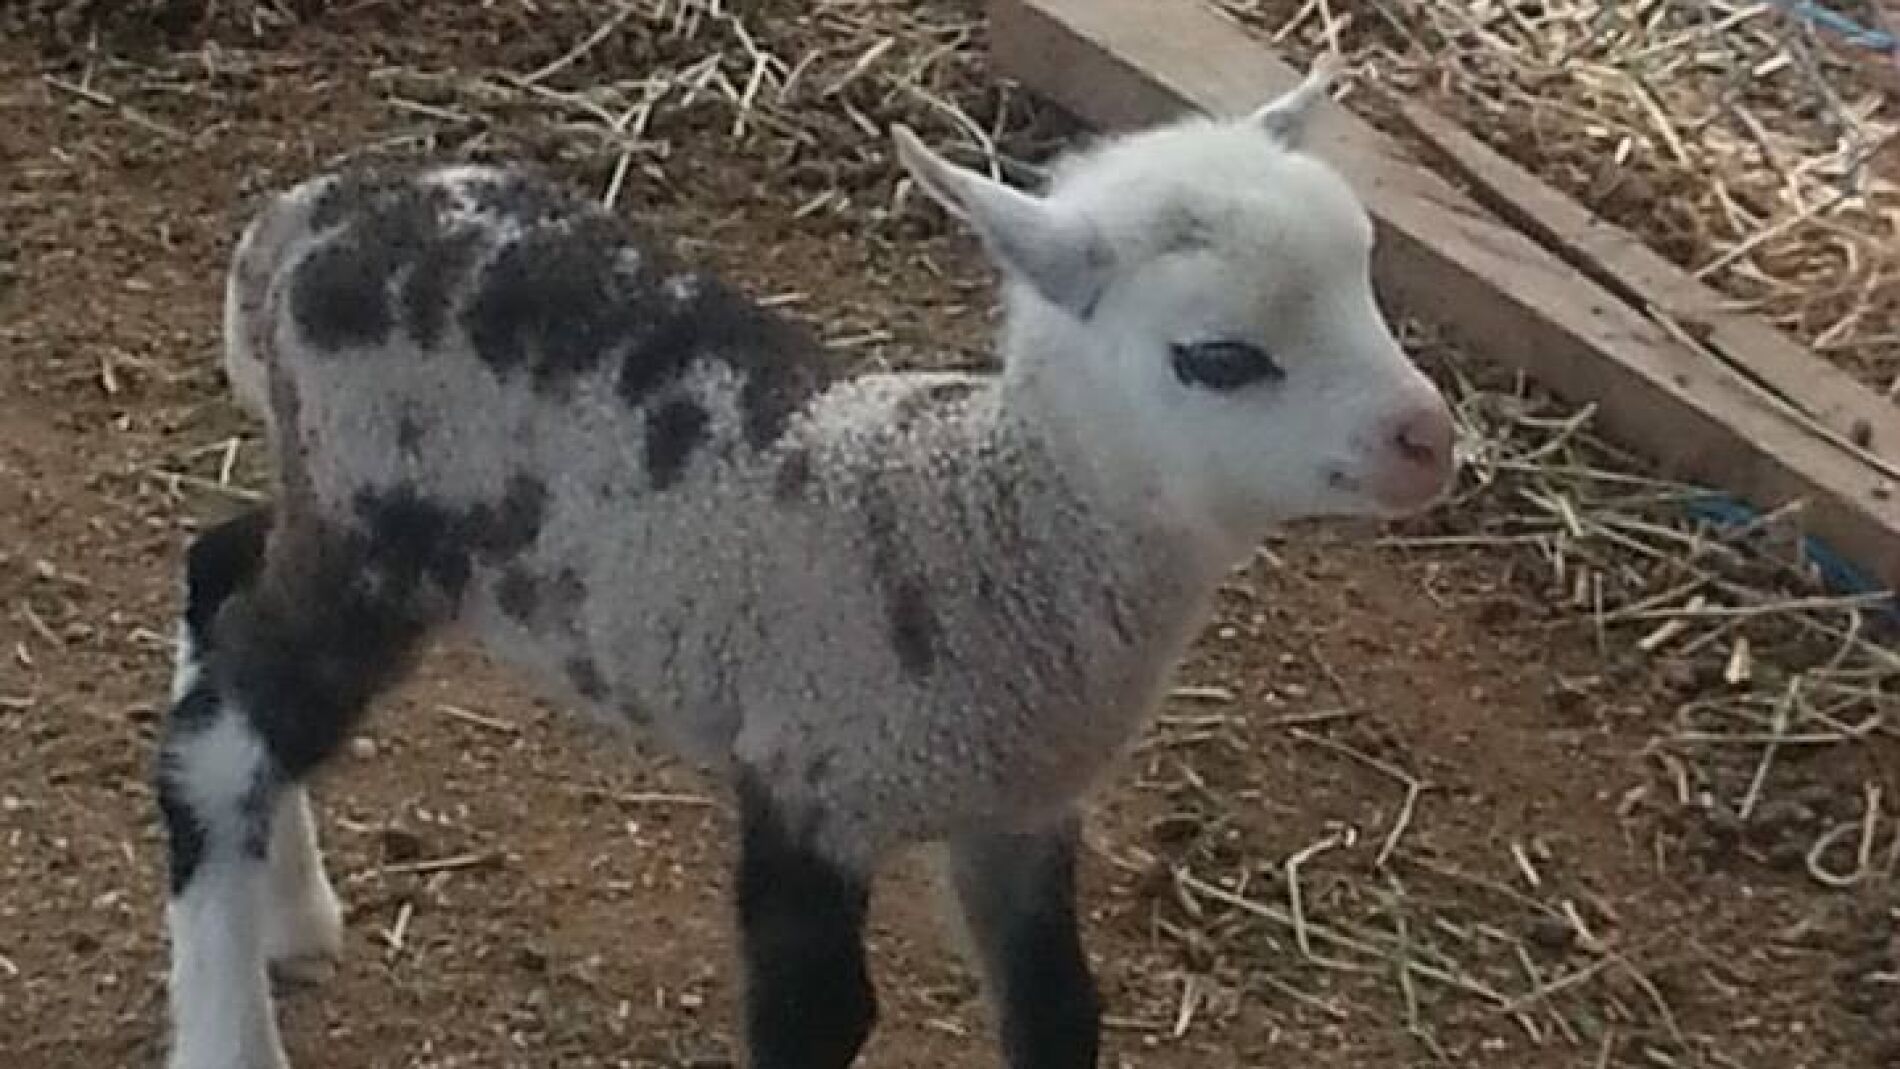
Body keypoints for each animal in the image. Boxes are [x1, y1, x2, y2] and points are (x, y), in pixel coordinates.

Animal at [154, 55, 1455, 1069]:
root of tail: (298, 223)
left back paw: (291, 908)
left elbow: (1058, 1011)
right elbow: (819, 1019)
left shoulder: (1019, 814)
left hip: (329, 497)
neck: (981, 515)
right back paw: (231, 1022)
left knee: (221, 580)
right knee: (220, 746)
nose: (1429, 439)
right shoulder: (808, 773)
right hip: (372, 527)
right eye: (1218, 357)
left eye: (1365, 272)